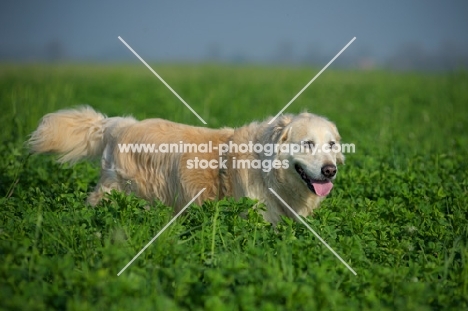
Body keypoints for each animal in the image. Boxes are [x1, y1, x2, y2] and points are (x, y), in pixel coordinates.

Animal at [29, 107, 344, 224]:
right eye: (307, 144)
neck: (270, 170)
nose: (330, 170)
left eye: (331, 145)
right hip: (116, 190)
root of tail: (118, 124)